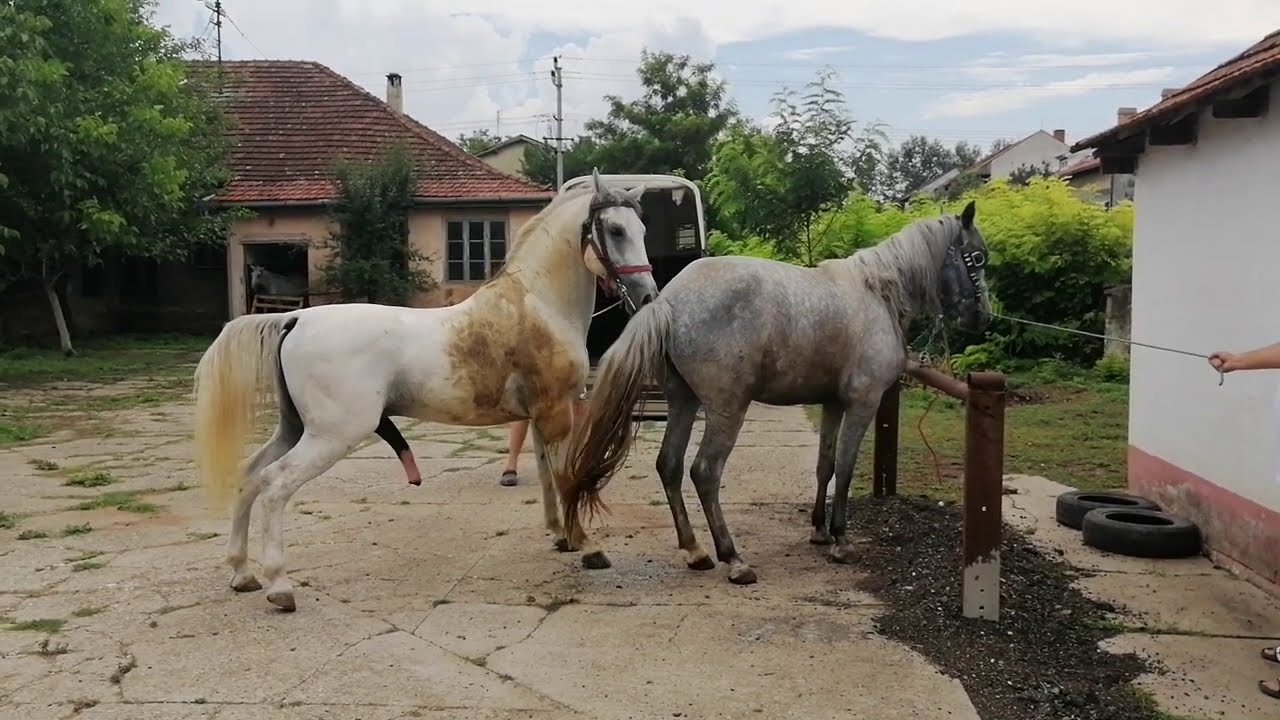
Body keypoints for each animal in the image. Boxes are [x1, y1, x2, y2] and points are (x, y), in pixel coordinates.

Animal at [194, 169, 665, 609]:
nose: (647, 297)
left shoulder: (540, 415)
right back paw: (279, 585)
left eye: (643, 230)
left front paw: (561, 536)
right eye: (615, 230)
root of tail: (295, 319)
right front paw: (587, 546)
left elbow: (549, 476)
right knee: (274, 485)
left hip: (294, 428)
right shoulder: (556, 412)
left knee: (249, 476)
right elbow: (566, 474)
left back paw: (242, 573)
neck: (538, 304)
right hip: (331, 436)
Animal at [563, 198, 988, 579]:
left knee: (669, 465)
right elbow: (846, 468)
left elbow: (825, 465)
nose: (981, 317)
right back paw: (733, 558)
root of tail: (667, 302)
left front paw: (819, 530)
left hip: (683, 400)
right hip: (726, 409)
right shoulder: (862, 404)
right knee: (705, 472)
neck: (877, 292)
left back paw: (695, 551)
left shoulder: (833, 404)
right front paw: (841, 540)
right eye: (979, 258)